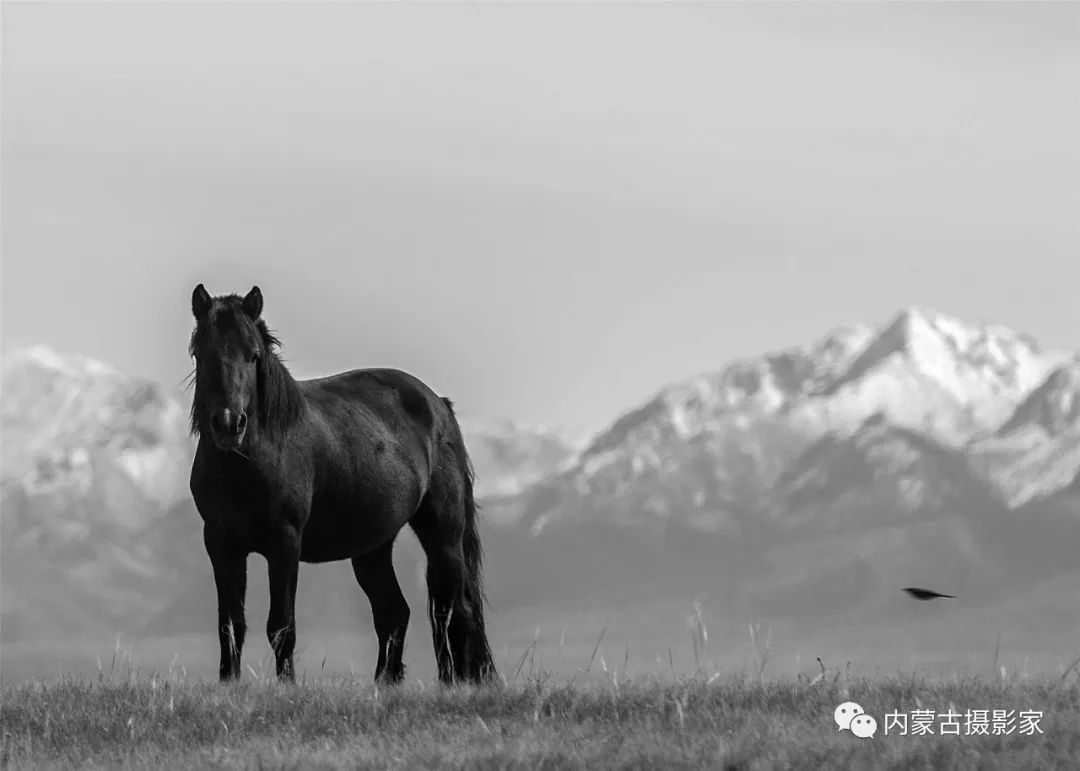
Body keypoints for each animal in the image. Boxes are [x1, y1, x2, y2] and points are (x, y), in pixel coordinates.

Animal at [186, 285, 496, 682]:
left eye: (253, 355)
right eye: (201, 353)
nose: (228, 424)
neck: (251, 461)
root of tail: (439, 405)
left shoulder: (284, 543)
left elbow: (281, 626)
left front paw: (287, 687)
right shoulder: (221, 544)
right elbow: (230, 625)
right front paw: (229, 684)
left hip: (443, 535)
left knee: (452, 613)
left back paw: (455, 683)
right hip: (372, 547)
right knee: (395, 613)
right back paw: (384, 684)